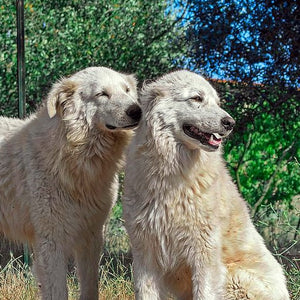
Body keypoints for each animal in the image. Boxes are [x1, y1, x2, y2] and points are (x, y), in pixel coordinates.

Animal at [0, 67, 142, 298]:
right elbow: (58, 291)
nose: (137, 111)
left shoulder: (92, 235)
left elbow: (90, 287)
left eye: (127, 90)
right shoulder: (51, 241)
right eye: (102, 94)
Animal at [123, 71, 290, 300]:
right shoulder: (144, 253)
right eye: (196, 98)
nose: (230, 122)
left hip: (234, 279)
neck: (172, 171)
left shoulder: (204, 254)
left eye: (217, 103)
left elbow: (205, 292)